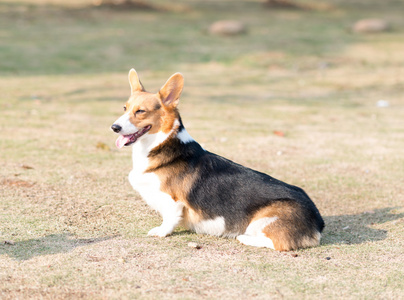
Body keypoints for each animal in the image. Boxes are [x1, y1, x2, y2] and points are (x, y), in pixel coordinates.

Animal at [111, 69, 326, 252]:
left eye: (140, 111)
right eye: (124, 108)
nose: (114, 127)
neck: (160, 144)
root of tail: (317, 220)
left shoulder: (173, 201)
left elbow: (169, 219)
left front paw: (161, 232)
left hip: (264, 219)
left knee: (279, 243)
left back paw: (245, 237)